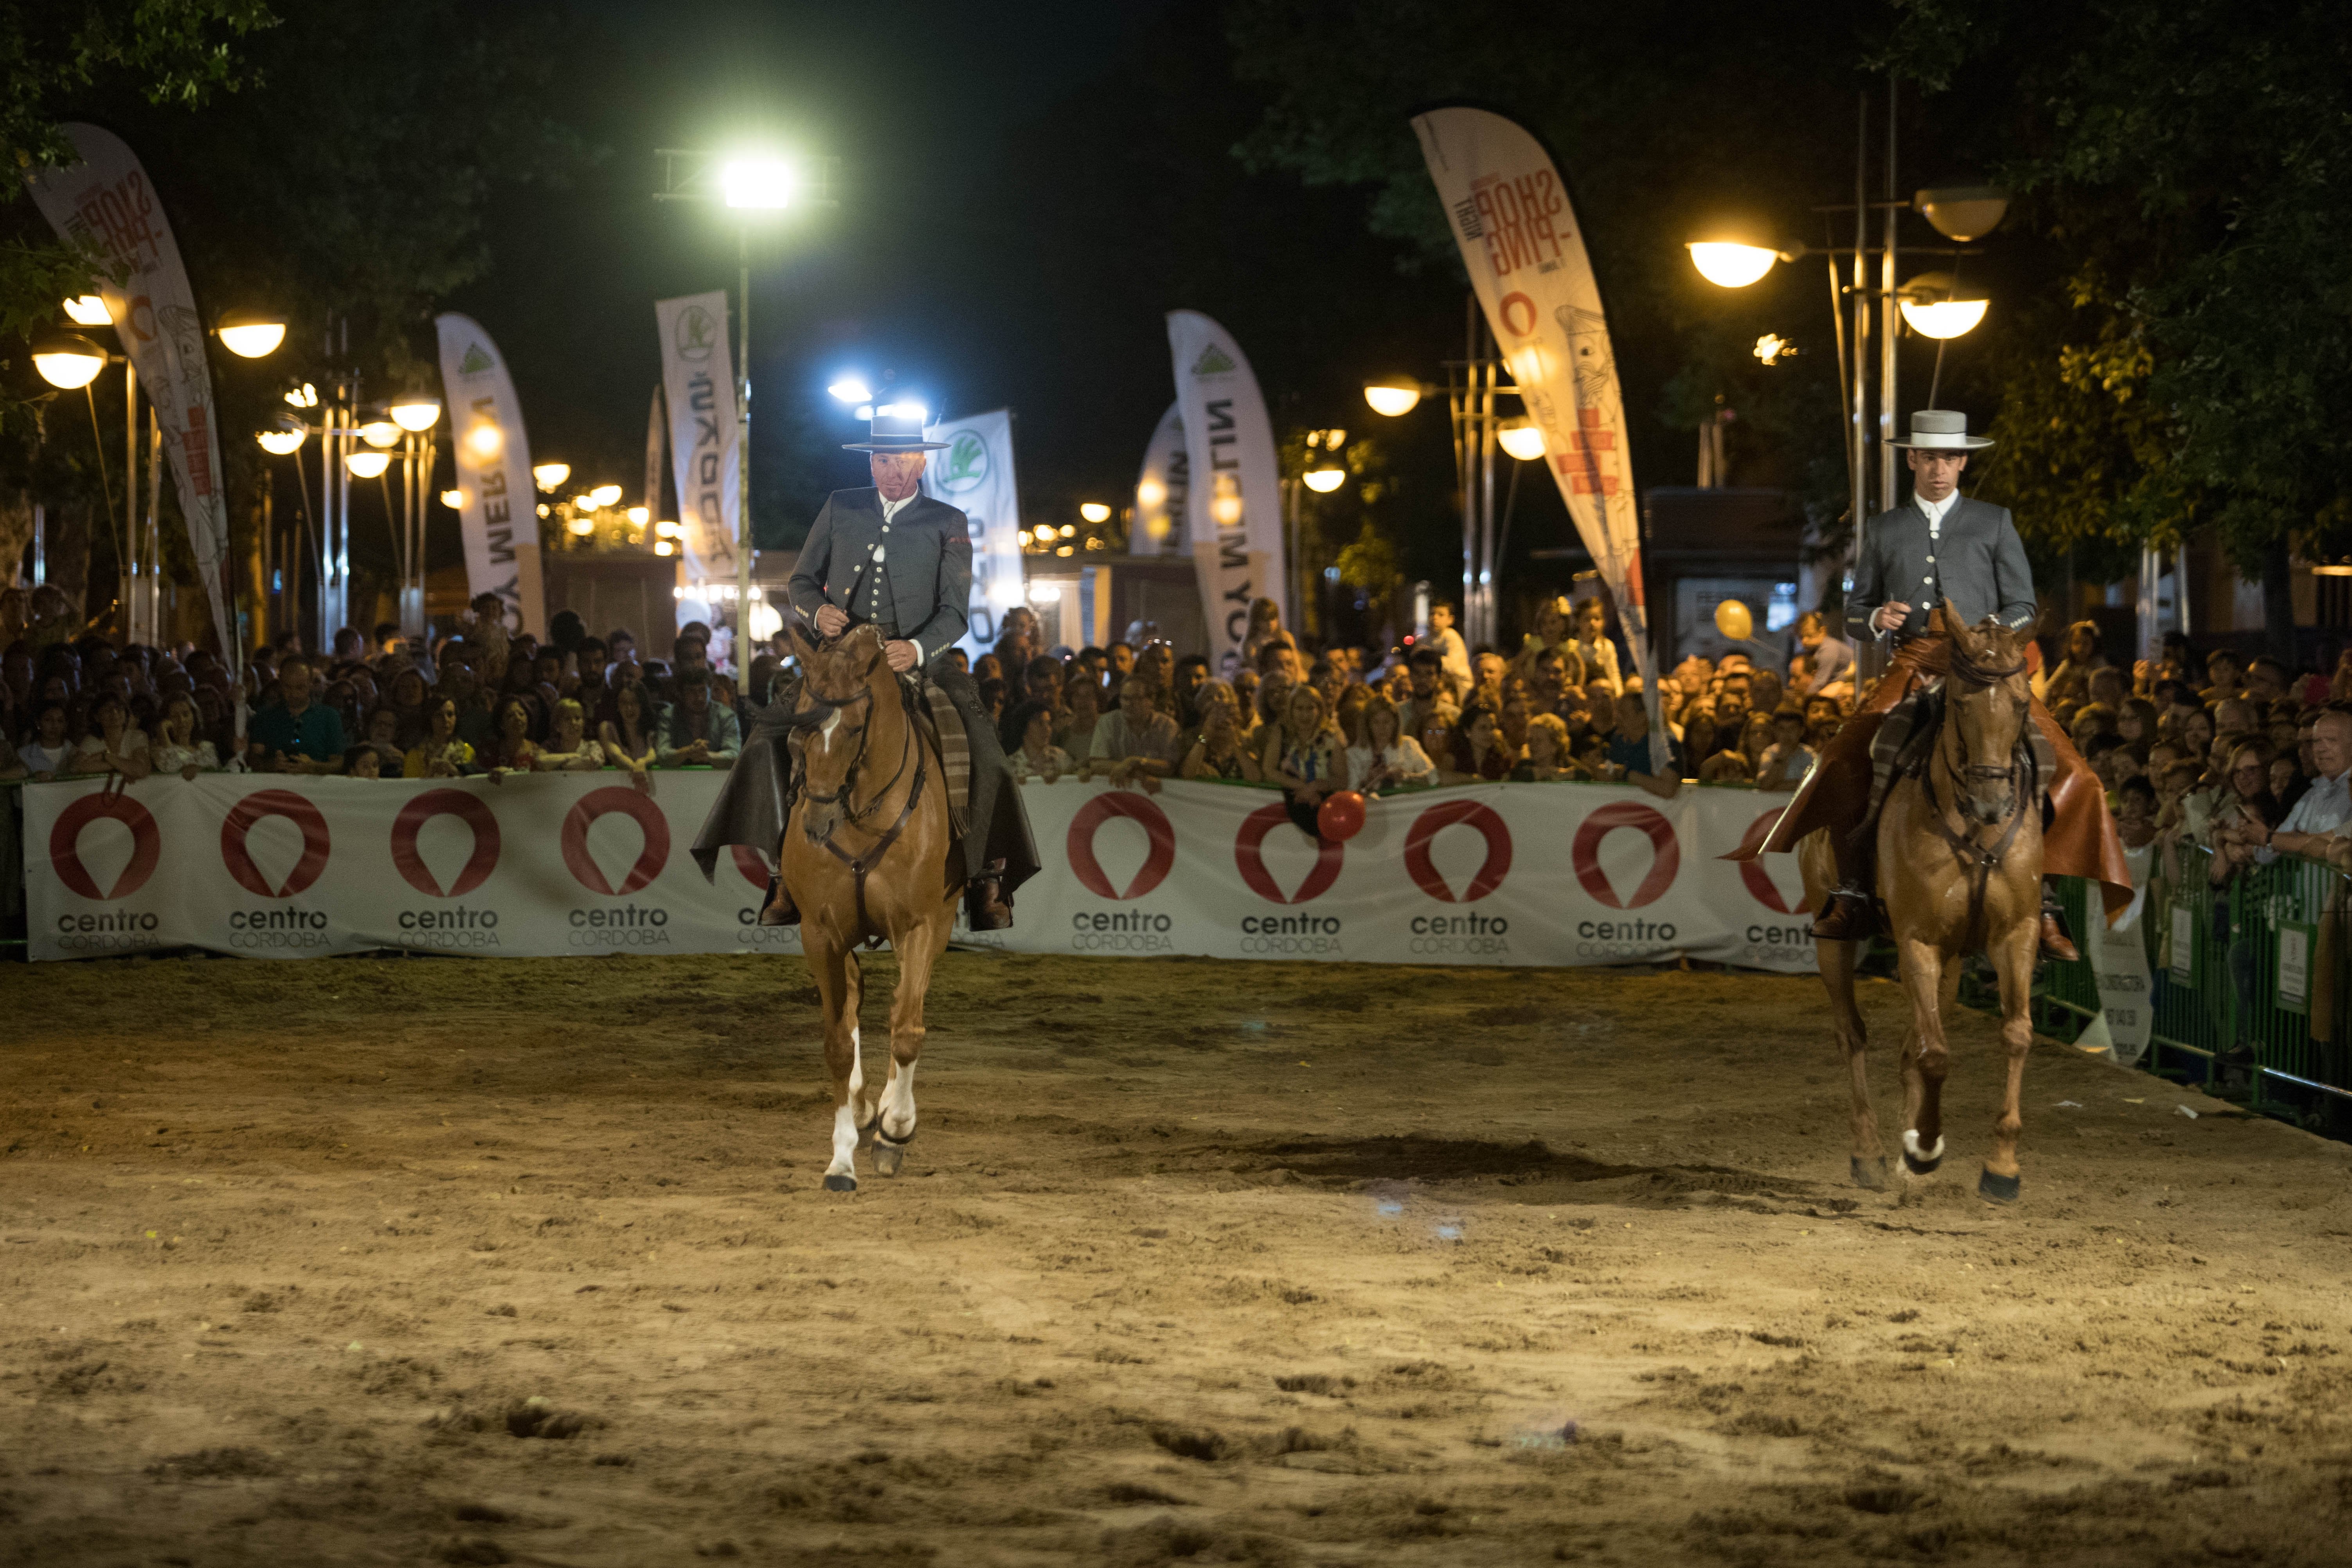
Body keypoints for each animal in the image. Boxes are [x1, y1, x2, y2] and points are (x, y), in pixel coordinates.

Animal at [785, 620, 959, 1189]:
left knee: (902, 1004)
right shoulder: (819, 933)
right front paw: (841, 1159)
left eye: (857, 724)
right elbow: (838, 1042)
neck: (862, 811)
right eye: (798, 722)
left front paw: (896, 1128)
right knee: (856, 1000)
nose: (816, 824)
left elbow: (906, 1030)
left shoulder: (921, 925)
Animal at [1797, 606, 2041, 1213]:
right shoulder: (1917, 940)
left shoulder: (2015, 933)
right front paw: (1924, 1146)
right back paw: (1869, 1151)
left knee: (1914, 1038)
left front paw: (2001, 1164)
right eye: (1961, 703)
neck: (1974, 828)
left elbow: (2014, 1034)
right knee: (1852, 1034)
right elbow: (1934, 1055)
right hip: (1834, 938)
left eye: (2021, 702)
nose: (1991, 802)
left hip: (1951, 960)